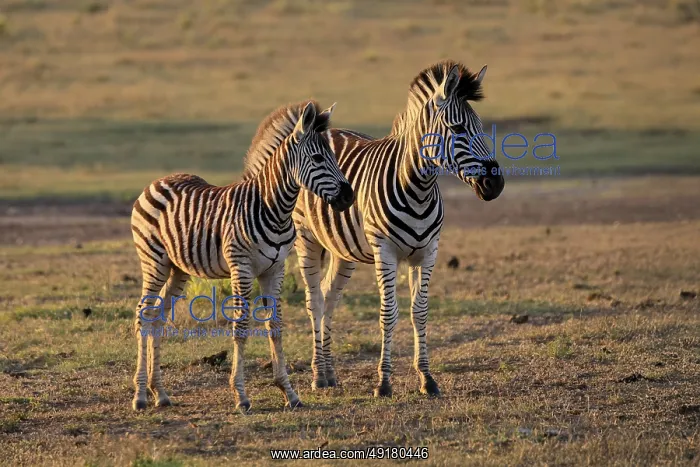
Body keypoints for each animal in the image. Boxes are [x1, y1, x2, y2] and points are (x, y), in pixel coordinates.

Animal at [130, 101, 354, 412]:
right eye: (319, 158)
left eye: (333, 156)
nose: (349, 197)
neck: (273, 207)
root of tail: (157, 181)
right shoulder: (242, 267)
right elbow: (242, 327)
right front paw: (241, 396)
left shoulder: (275, 269)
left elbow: (275, 326)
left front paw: (289, 392)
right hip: (154, 260)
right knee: (143, 315)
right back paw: (140, 396)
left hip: (178, 269)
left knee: (157, 317)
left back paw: (160, 393)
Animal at [242, 60, 505, 398]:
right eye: (458, 129)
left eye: (481, 127)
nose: (495, 184)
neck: (417, 187)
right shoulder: (386, 252)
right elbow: (388, 313)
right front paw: (384, 382)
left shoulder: (428, 251)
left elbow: (420, 312)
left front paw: (427, 378)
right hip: (307, 240)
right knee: (315, 302)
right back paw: (318, 375)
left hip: (343, 250)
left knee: (329, 297)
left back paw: (330, 373)